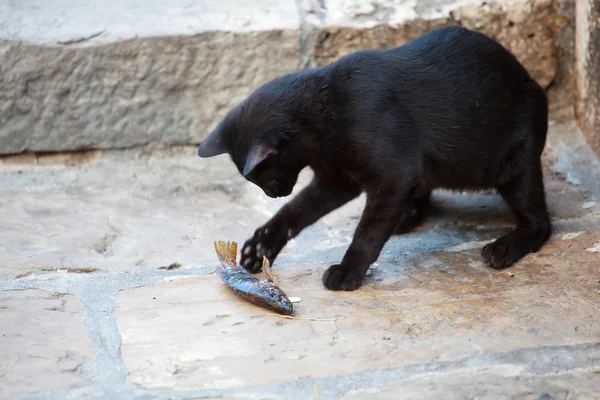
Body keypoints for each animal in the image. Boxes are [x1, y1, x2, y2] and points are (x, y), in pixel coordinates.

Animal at [196, 26, 548, 292]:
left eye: (267, 177)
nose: (273, 193)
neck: (327, 115)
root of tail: (530, 80)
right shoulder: (336, 180)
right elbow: (296, 211)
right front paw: (262, 246)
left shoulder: (393, 177)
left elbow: (368, 232)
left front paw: (348, 271)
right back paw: (408, 214)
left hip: (516, 167)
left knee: (541, 224)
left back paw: (504, 247)